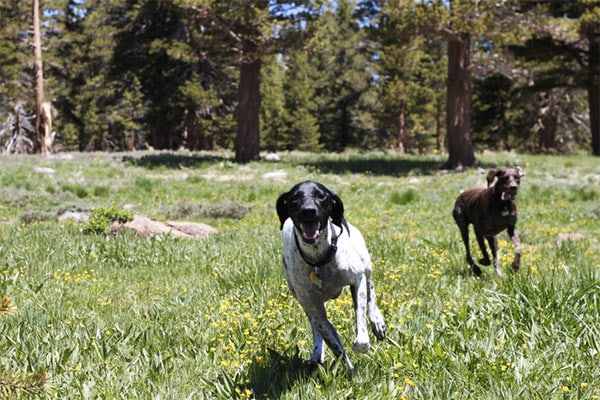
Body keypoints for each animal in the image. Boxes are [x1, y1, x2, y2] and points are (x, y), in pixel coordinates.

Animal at [276, 180, 384, 372]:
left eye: (321, 196)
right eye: (295, 198)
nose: (308, 210)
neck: (318, 260)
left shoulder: (357, 280)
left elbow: (361, 330)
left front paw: (362, 341)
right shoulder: (314, 308)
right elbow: (336, 346)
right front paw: (352, 373)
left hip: (365, 265)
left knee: (370, 287)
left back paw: (377, 321)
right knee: (314, 325)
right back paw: (317, 353)